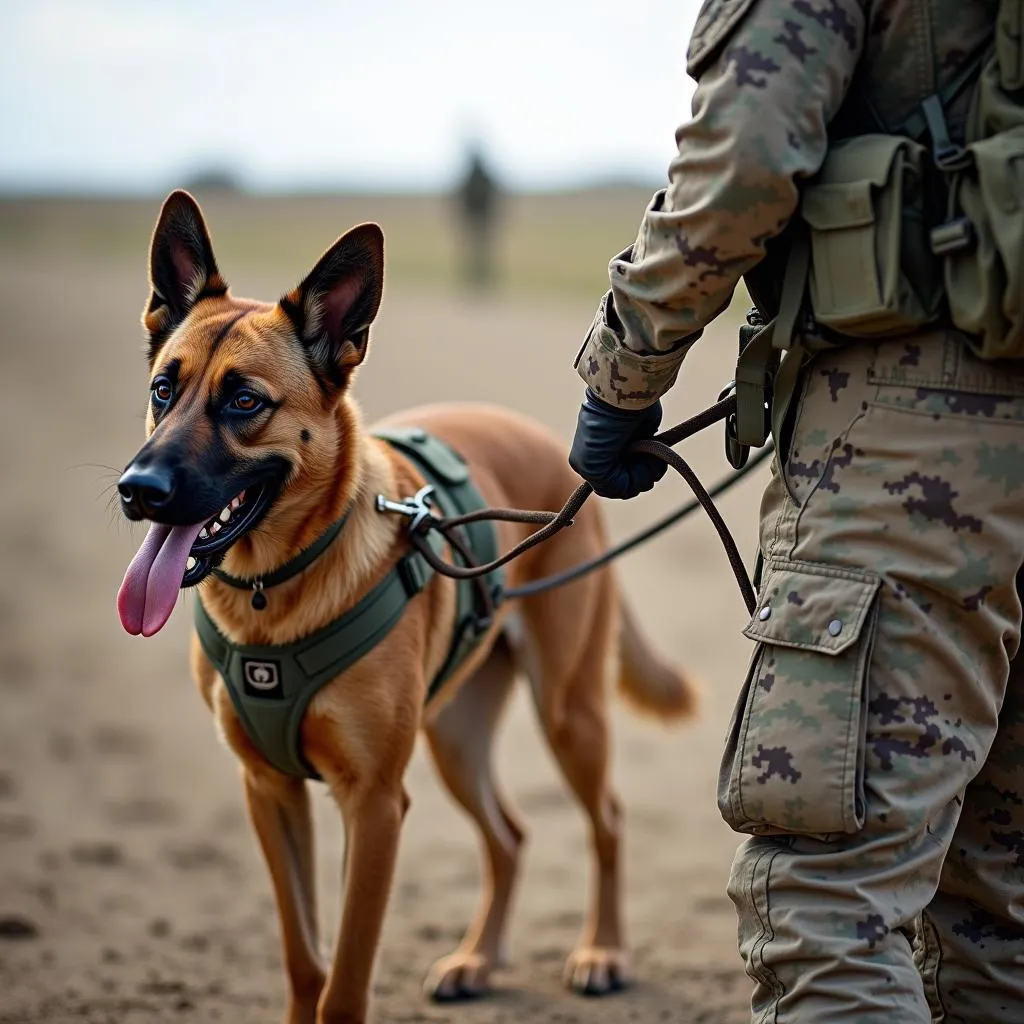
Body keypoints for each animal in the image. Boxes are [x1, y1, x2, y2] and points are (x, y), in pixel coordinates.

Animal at [117, 190, 696, 1024]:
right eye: (164, 389)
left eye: (244, 401)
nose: (137, 491)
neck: (276, 588)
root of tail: (554, 451)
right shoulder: (270, 793)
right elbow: (305, 960)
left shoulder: (375, 805)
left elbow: (345, 981)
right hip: (455, 734)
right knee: (509, 837)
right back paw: (478, 959)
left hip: (568, 713)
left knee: (607, 821)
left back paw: (602, 952)